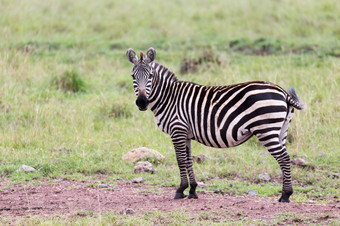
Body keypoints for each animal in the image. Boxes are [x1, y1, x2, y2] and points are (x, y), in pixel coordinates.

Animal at [126, 47, 304, 203]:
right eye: (133, 76)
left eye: (150, 75)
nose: (142, 102)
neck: (169, 98)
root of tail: (282, 91)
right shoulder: (186, 133)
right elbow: (188, 160)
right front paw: (192, 190)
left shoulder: (177, 129)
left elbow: (180, 160)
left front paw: (180, 190)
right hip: (281, 130)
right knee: (286, 157)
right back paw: (286, 194)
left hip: (266, 129)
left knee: (283, 158)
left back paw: (285, 196)